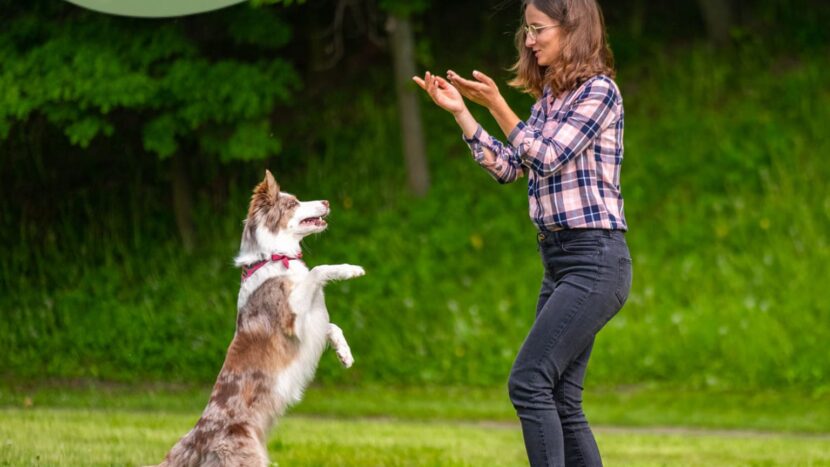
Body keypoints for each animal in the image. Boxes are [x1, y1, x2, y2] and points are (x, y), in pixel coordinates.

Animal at [156, 172, 364, 467]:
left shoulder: (310, 323)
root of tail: (198, 436)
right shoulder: (293, 322)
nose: (326, 201)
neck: (276, 257)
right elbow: (317, 271)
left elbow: (333, 326)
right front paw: (349, 269)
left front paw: (344, 354)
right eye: (293, 203)